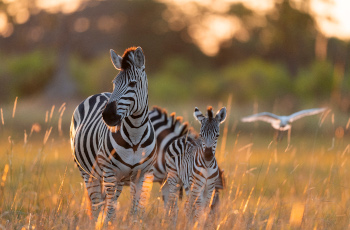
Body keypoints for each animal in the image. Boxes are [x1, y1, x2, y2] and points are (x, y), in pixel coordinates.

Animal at [70, 45, 155, 220]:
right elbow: (109, 210)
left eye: (133, 83)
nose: (108, 116)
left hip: (119, 178)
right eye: (114, 83)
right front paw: (107, 223)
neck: (135, 135)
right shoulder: (109, 172)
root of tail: (98, 93)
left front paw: (133, 222)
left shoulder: (142, 174)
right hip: (88, 172)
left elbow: (135, 211)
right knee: (97, 203)